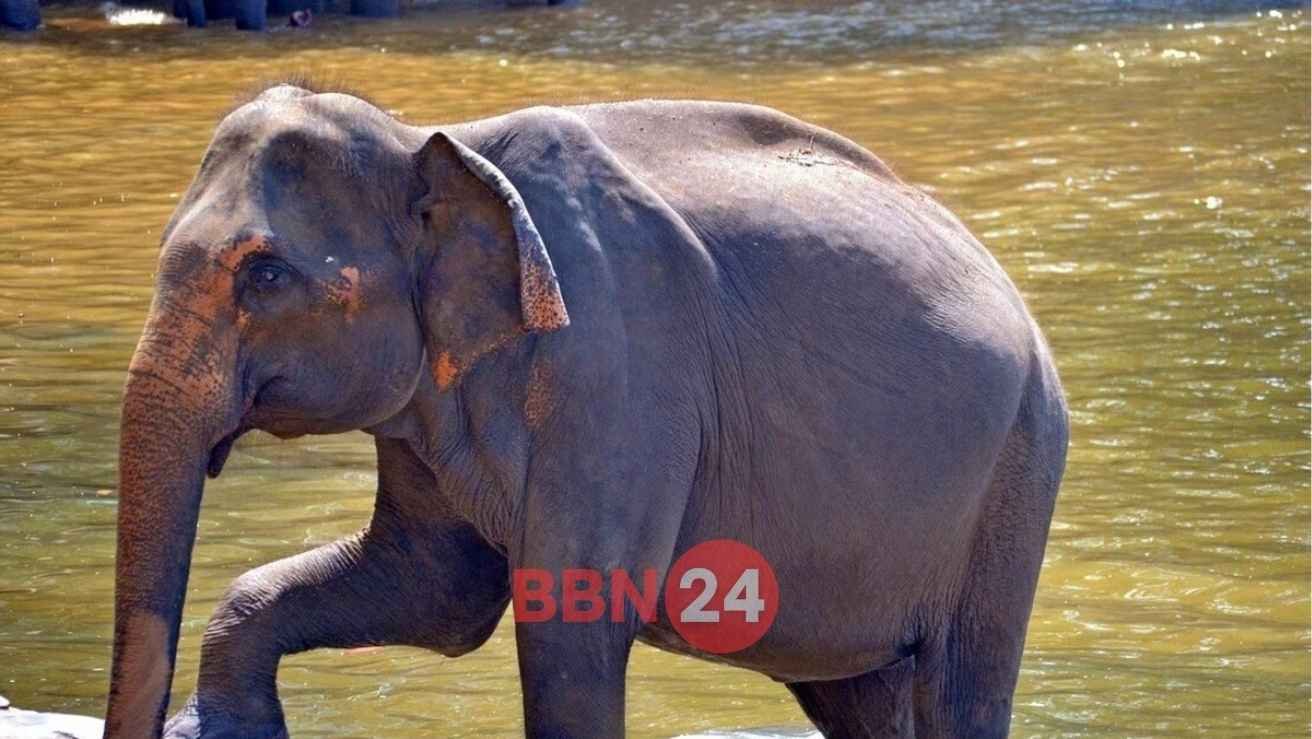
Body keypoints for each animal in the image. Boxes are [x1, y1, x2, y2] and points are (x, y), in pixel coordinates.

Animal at [103, 82, 1069, 739]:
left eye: (264, 275)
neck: (433, 139)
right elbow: (432, 589)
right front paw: (224, 725)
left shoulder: (618, 364)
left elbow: (570, 619)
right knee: (863, 692)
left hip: (1016, 474)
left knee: (959, 682)